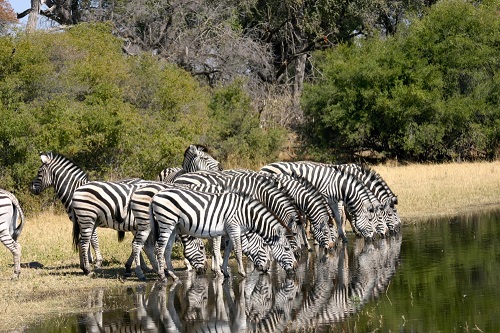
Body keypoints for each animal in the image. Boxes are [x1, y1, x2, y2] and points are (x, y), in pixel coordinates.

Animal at [148, 185, 296, 282]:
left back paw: (173, 275)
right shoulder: (234, 227)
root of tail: (155, 196)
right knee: (159, 248)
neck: (247, 214)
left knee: (167, 250)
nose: (295, 268)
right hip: (166, 222)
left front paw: (225, 271)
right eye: (287, 248)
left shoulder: (229, 230)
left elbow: (228, 250)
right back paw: (162, 276)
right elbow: (237, 251)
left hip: (174, 227)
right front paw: (242, 273)